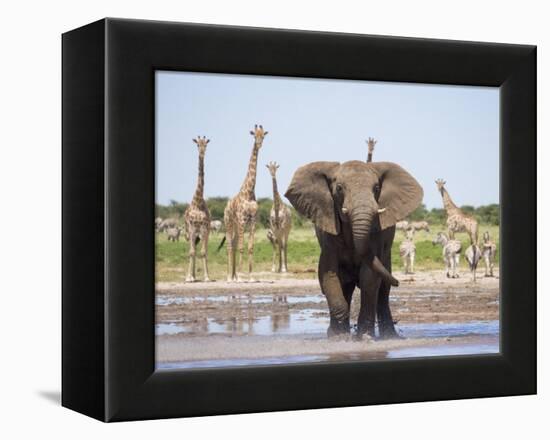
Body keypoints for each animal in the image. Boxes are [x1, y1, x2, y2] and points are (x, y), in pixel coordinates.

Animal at [223, 124, 268, 282]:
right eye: (254, 135)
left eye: (263, 135)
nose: (259, 144)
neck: (249, 192)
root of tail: (225, 207)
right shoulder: (242, 220)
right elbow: (242, 247)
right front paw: (240, 277)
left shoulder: (253, 220)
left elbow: (250, 247)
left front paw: (251, 276)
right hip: (229, 223)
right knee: (230, 246)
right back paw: (229, 277)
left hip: (237, 226)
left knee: (234, 244)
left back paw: (233, 275)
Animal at [286, 160, 424, 338]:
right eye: (339, 188)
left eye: (376, 188)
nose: (399, 282)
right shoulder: (328, 234)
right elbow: (328, 273)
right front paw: (339, 336)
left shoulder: (376, 233)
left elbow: (369, 277)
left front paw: (364, 337)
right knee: (346, 284)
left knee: (383, 290)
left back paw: (389, 336)